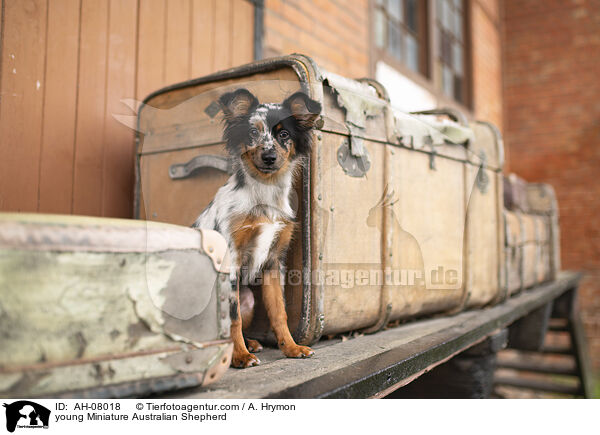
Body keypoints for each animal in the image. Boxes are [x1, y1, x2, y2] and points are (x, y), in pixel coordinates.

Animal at [195, 88, 322, 368]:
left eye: (284, 135)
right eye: (253, 132)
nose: (269, 157)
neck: (264, 194)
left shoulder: (274, 264)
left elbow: (279, 313)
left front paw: (292, 348)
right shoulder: (231, 260)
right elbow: (233, 318)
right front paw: (240, 357)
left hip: (250, 299)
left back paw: (251, 342)